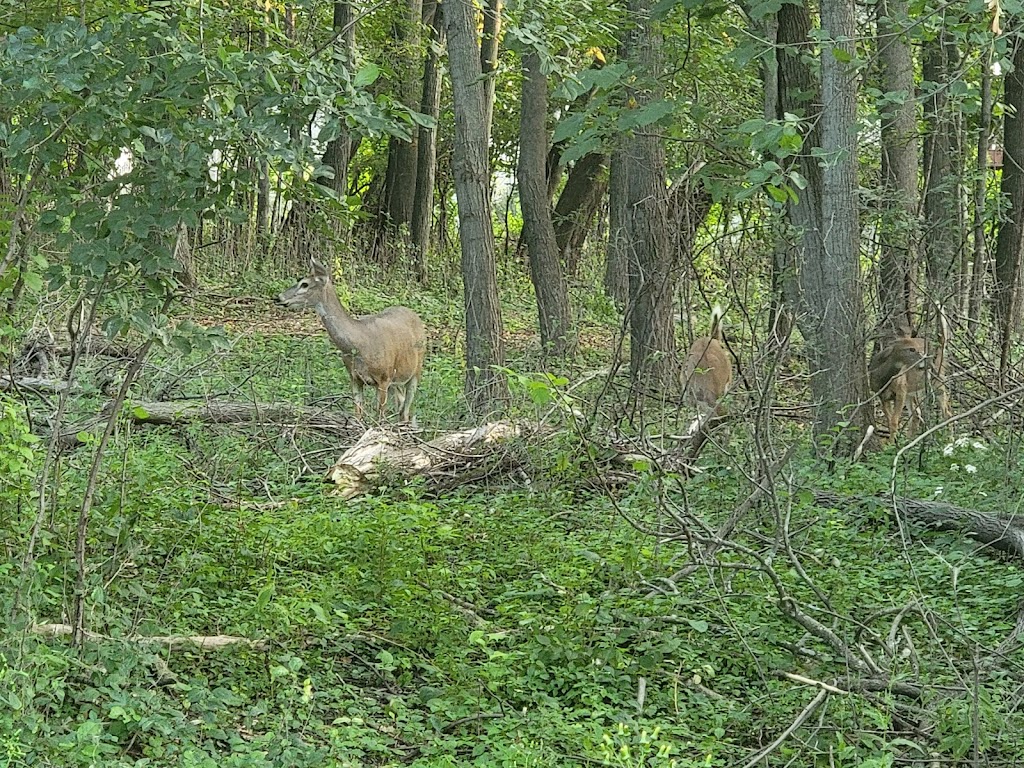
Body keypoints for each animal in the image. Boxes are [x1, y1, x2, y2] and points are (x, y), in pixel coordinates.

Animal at [274, 260, 425, 428]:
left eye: (304, 284)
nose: (278, 297)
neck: (359, 346)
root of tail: (415, 315)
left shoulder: (384, 378)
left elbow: (379, 419)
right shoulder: (354, 378)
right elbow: (358, 416)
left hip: (415, 370)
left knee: (406, 408)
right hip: (396, 381)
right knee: (402, 406)